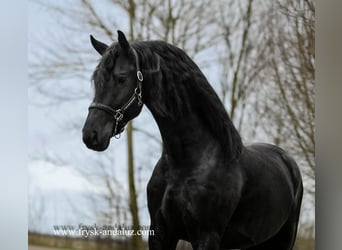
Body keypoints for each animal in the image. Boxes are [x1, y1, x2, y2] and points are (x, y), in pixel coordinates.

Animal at [82, 30, 302, 249]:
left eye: (121, 78)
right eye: (96, 80)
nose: (90, 135)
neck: (188, 162)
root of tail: (287, 160)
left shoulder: (206, 236)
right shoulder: (160, 233)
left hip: (284, 238)